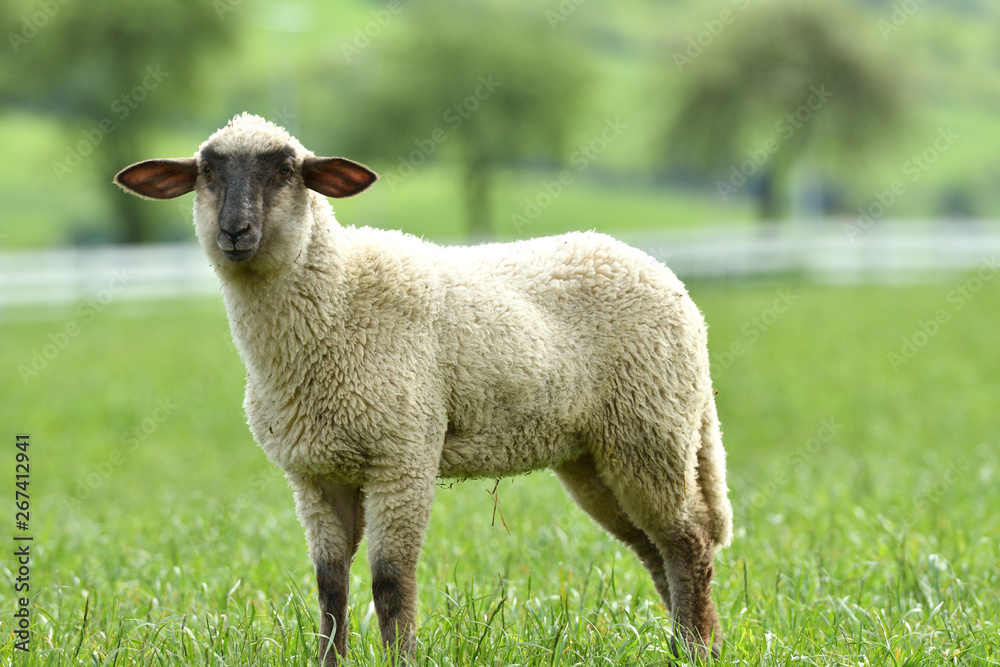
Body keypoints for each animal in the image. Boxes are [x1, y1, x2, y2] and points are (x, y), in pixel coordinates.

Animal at [115, 113, 736, 664]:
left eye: (286, 170)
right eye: (206, 171)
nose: (235, 232)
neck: (339, 302)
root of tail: (676, 288)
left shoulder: (403, 455)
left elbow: (391, 581)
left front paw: (402, 659)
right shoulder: (315, 473)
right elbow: (330, 586)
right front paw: (330, 661)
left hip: (650, 430)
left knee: (688, 541)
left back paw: (697, 650)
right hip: (596, 454)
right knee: (654, 547)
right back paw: (686, 645)